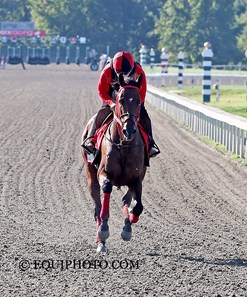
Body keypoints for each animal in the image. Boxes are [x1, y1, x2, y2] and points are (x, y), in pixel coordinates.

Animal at [81, 74, 147, 252]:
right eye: (120, 100)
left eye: (138, 101)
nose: (129, 130)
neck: (124, 145)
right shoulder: (104, 173)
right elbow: (106, 189)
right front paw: (103, 231)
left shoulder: (137, 179)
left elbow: (138, 206)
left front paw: (128, 227)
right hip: (90, 173)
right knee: (97, 205)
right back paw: (100, 241)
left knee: (126, 199)